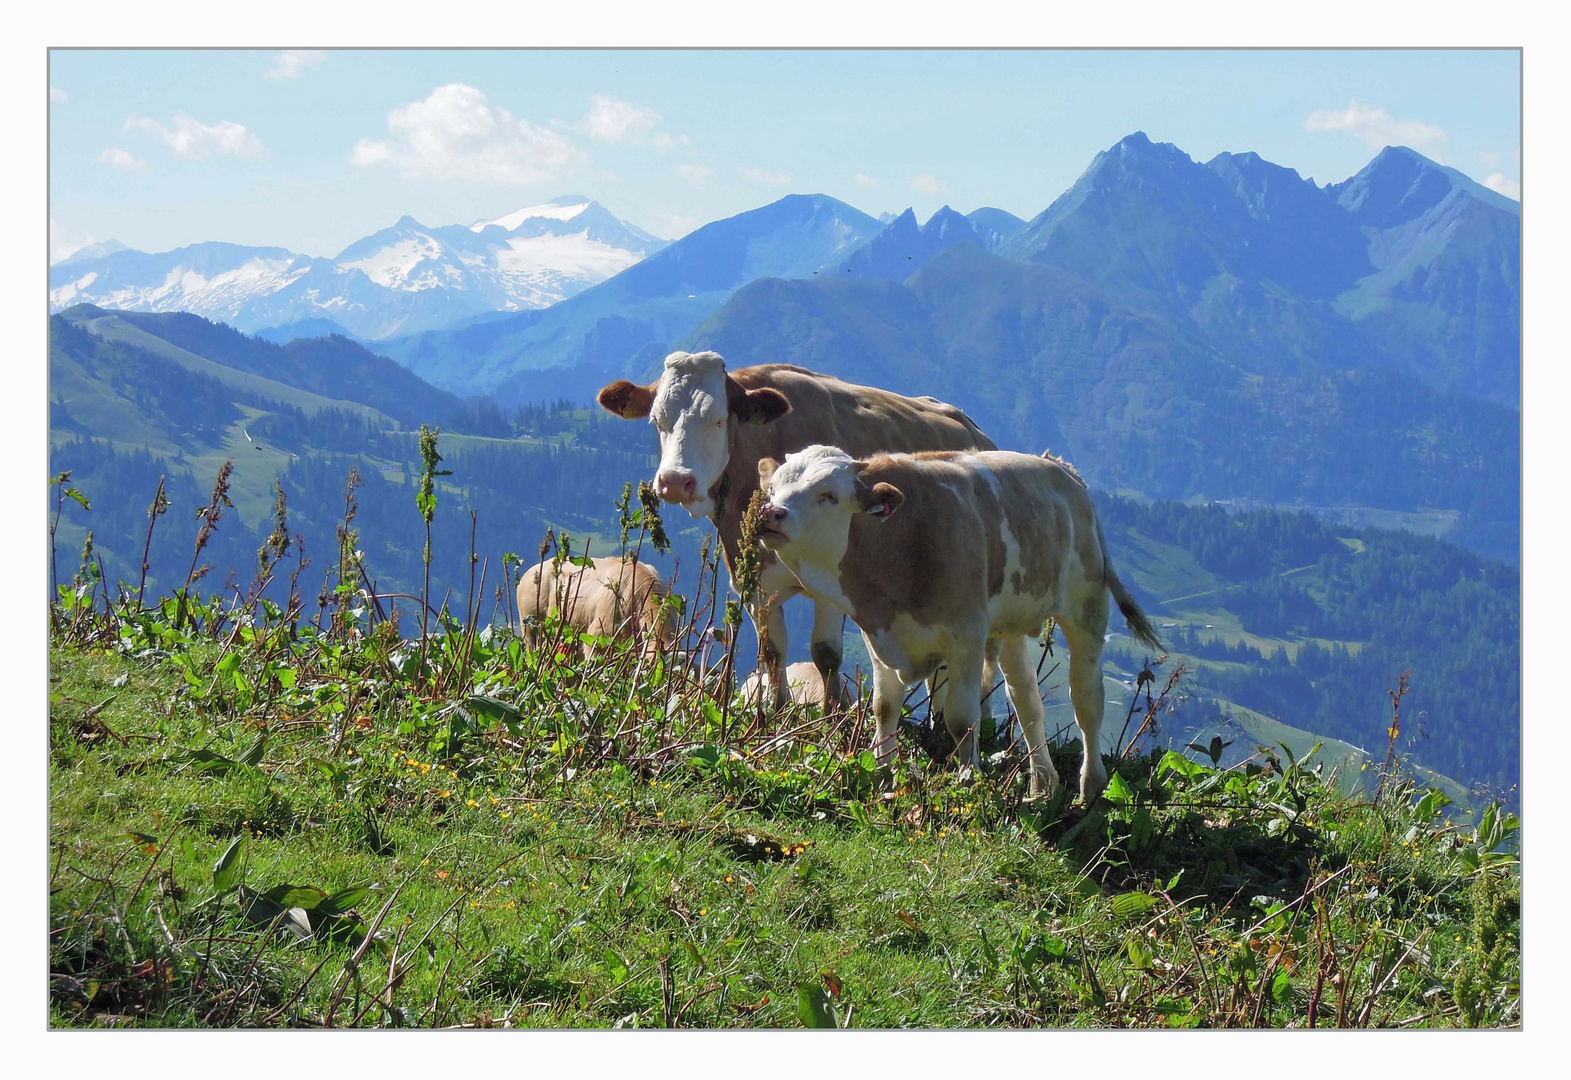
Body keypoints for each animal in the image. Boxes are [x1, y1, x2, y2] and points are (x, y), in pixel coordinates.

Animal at [754, 440, 1162, 801]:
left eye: (829, 495)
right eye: (772, 489)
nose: (770, 513)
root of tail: (1061, 468)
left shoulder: (966, 633)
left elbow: (962, 718)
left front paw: (969, 781)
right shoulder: (878, 633)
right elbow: (884, 706)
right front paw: (883, 776)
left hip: (1085, 605)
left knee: (1086, 698)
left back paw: (1091, 785)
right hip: (1009, 625)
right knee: (1027, 700)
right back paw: (1041, 785)